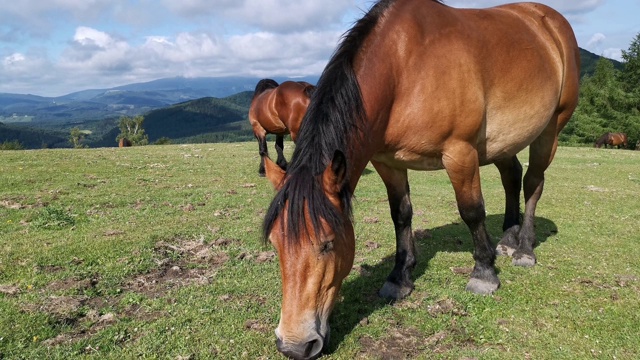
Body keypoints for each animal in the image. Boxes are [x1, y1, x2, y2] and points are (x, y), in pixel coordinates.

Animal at [260, 1, 580, 358]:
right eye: (274, 243)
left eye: (327, 243)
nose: (294, 345)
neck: (405, 67)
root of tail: (547, 20)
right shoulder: (387, 162)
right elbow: (401, 215)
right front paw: (400, 277)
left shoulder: (460, 153)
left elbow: (472, 212)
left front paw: (484, 273)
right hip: (503, 140)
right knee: (511, 176)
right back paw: (508, 241)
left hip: (550, 129)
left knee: (533, 183)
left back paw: (524, 248)